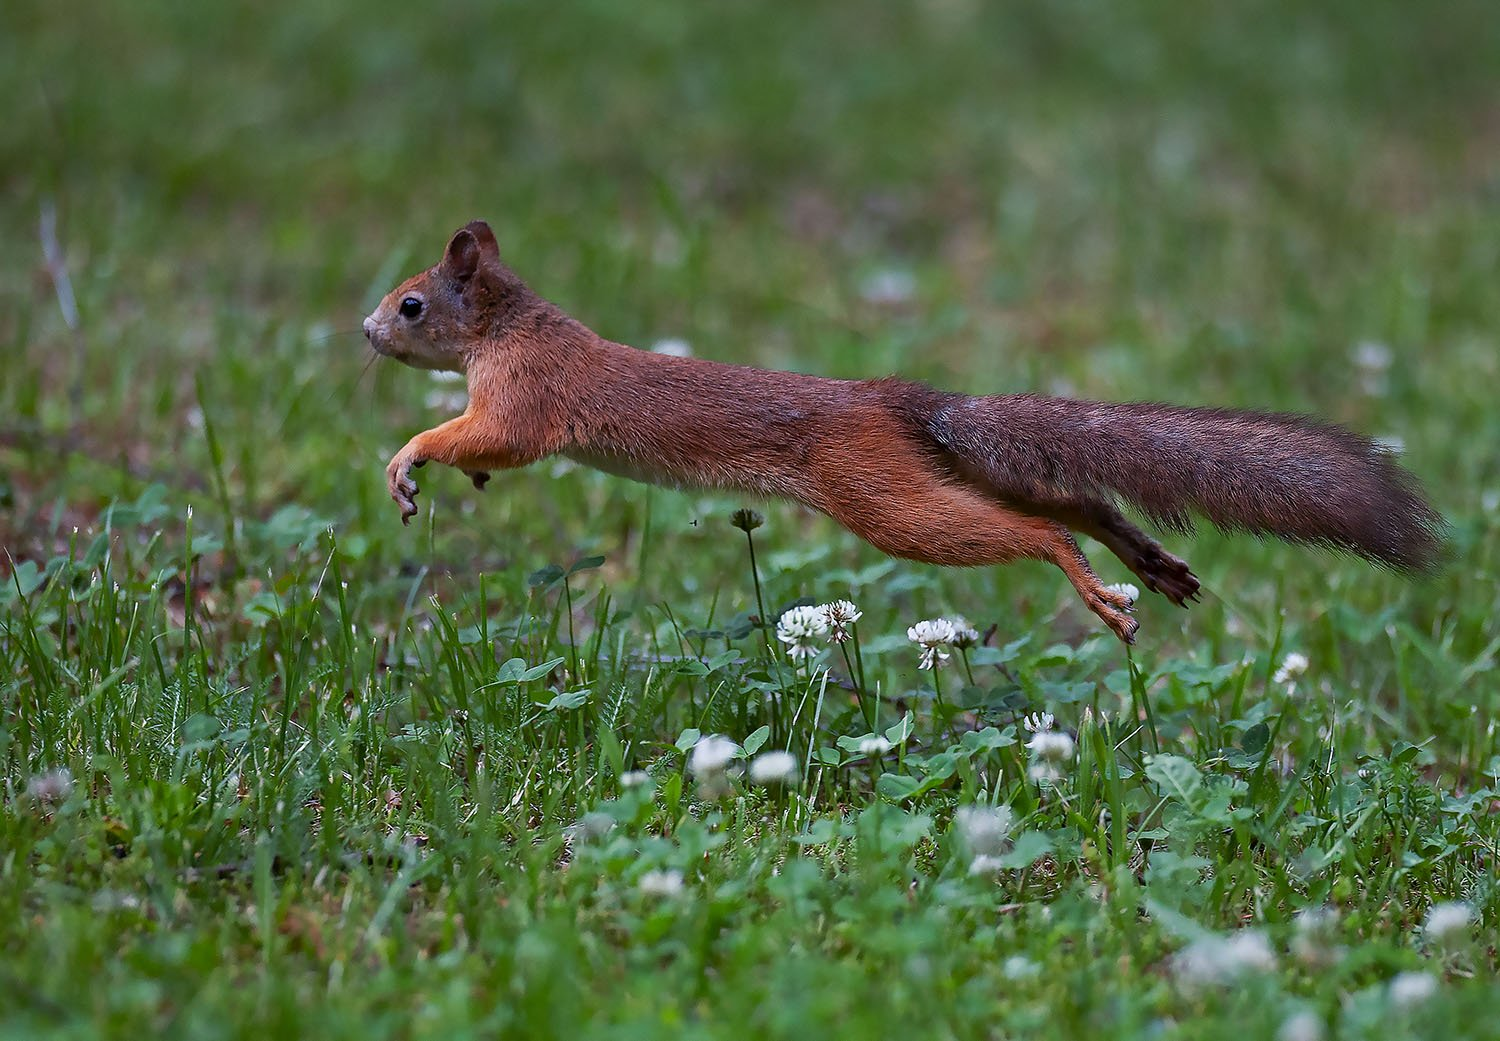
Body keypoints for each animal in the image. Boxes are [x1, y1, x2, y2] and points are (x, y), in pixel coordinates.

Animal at [360, 220, 1440, 645]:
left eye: (412, 303)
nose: (365, 332)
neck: (514, 328)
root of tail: (900, 401)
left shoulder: (526, 402)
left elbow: (480, 437)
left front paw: (409, 466)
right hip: (934, 474)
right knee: (1074, 497)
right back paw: (1150, 563)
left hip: (882, 497)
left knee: (1039, 528)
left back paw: (1098, 589)